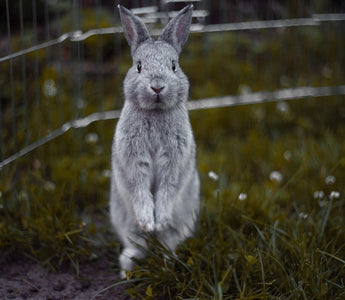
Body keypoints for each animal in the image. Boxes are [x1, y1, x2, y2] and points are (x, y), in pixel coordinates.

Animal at [109, 4, 198, 278]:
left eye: (173, 66)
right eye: (138, 66)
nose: (157, 87)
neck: (156, 112)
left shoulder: (174, 162)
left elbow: (168, 187)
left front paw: (160, 218)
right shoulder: (134, 161)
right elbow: (140, 188)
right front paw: (149, 221)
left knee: (168, 241)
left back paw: (168, 262)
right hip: (125, 221)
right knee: (137, 244)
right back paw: (128, 269)